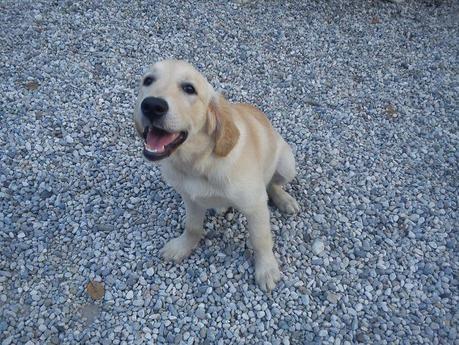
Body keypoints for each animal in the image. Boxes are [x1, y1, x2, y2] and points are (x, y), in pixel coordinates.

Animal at [134, 59, 298, 290]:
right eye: (148, 80)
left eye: (189, 89)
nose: (151, 106)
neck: (198, 164)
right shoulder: (190, 198)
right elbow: (192, 226)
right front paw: (183, 246)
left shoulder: (255, 204)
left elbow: (261, 238)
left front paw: (266, 268)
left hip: (286, 164)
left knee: (273, 184)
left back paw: (285, 200)